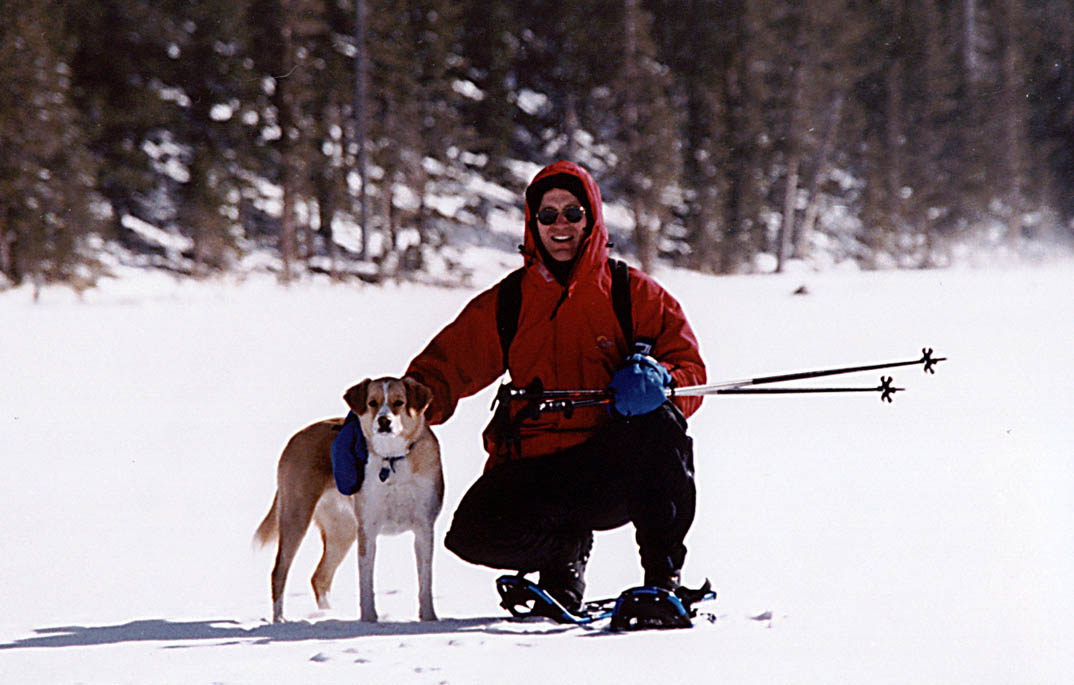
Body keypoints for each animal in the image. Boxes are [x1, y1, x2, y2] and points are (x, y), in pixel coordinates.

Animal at [253, 377, 442, 627]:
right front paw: (369, 620)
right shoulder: (368, 530)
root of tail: (297, 436)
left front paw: (429, 620)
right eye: (372, 403)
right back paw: (280, 619)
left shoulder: (424, 528)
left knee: (320, 577)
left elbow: (425, 581)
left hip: (342, 530)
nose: (384, 421)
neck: (392, 459)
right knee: (279, 571)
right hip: (297, 515)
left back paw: (328, 614)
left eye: (399, 402)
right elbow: (366, 583)